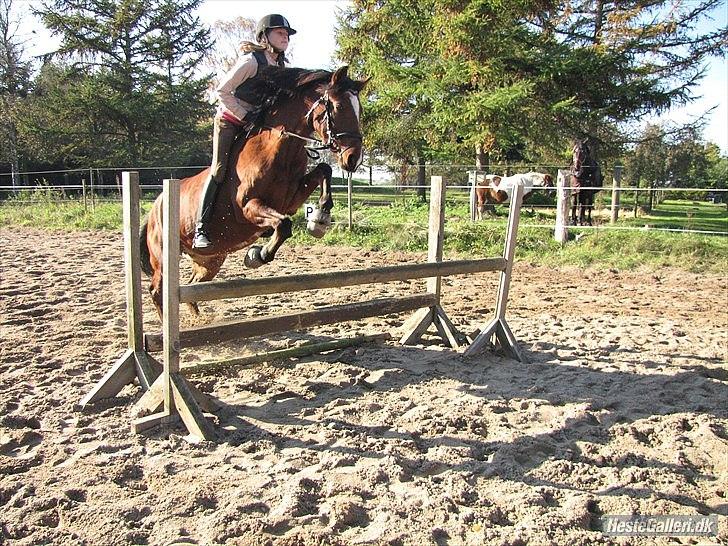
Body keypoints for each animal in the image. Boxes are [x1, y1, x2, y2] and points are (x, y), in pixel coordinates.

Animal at [139, 66, 366, 314]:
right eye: (338, 106)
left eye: (360, 109)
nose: (353, 158)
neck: (278, 149)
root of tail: (156, 206)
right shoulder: (248, 207)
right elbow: (283, 225)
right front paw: (257, 255)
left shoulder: (291, 199)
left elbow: (324, 170)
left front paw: (320, 219)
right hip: (163, 254)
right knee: (157, 290)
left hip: (211, 259)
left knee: (191, 287)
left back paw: (198, 319)